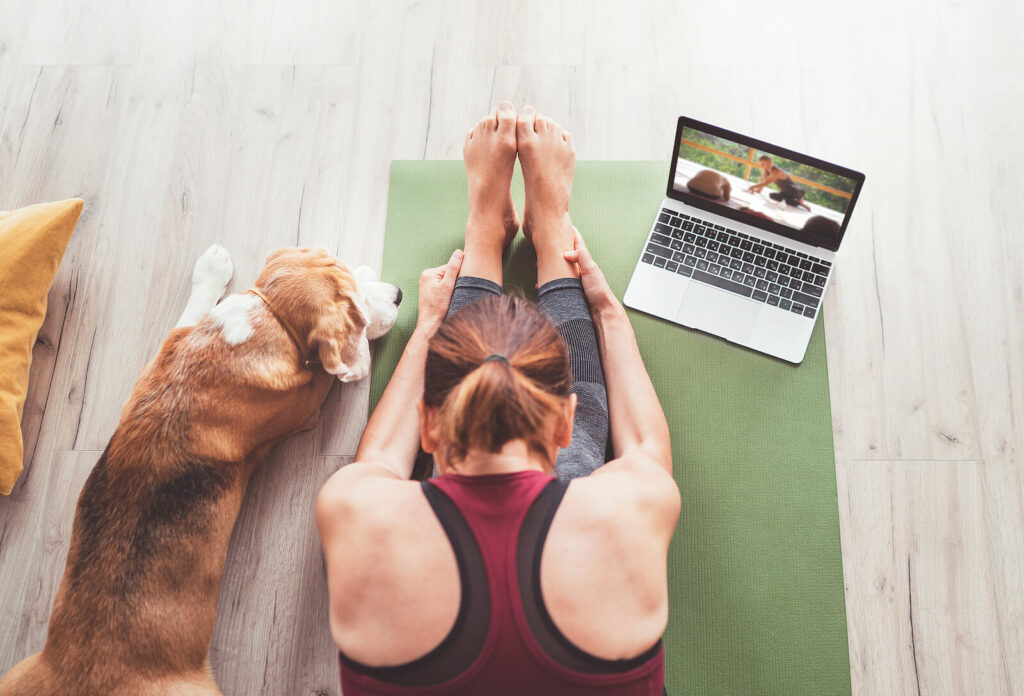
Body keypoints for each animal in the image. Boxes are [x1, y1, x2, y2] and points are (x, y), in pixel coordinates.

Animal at [0, 244, 399, 696]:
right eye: (357, 308)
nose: (400, 295)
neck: (269, 316)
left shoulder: (169, 346)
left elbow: (192, 308)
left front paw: (211, 269)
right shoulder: (306, 402)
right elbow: (324, 371)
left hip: (14, 673)